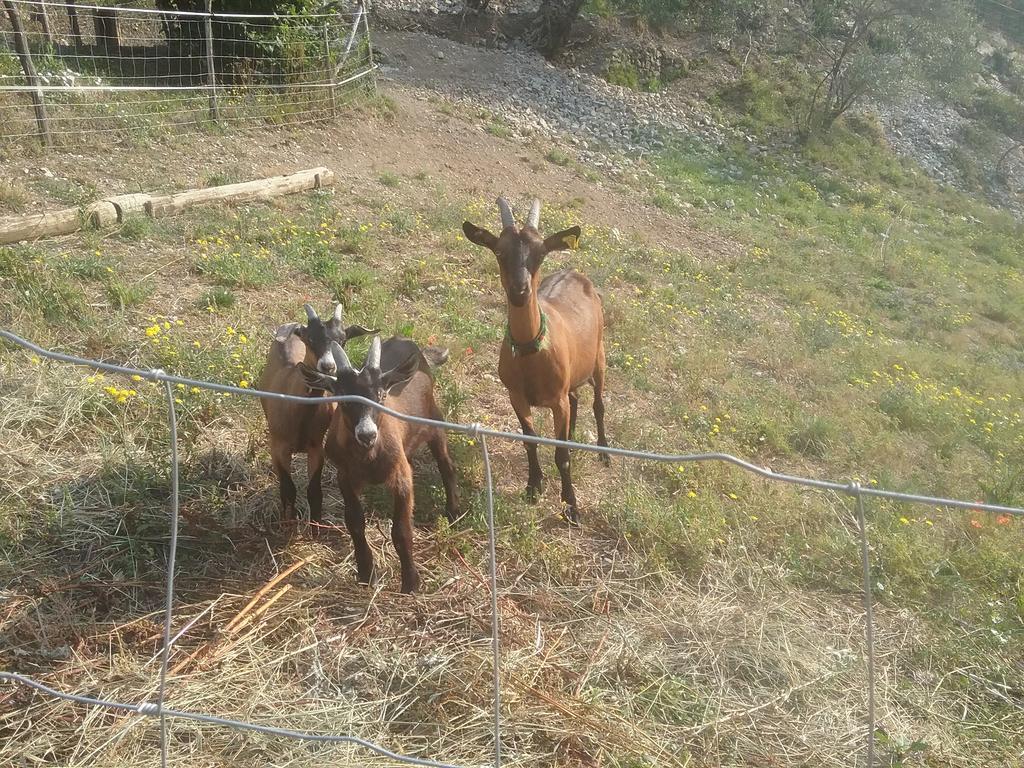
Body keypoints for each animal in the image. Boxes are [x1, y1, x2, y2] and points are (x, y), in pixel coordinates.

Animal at [260, 303, 376, 528]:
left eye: (342, 340)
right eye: (311, 339)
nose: (328, 366)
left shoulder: (316, 448)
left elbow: (314, 491)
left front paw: (315, 528)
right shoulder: (278, 448)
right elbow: (288, 488)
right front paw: (288, 525)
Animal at [296, 333, 456, 593]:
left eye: (381, 396)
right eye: (343, 398)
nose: (367, 434)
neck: (368, 456)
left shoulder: (402, 477)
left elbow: (401, 531)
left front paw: (411, 583)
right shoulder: (345, 476)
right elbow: (355, 523)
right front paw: (366, 573)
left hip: (434, 420)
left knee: (446, 464)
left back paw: (453, 512)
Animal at [464, 196, 606, 524]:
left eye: (540, 253)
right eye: (499, 251)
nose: (520, 290)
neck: (533, 351)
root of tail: (576, 273)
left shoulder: (557, 401)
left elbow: (561, 456)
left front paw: (571, 506)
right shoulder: (516, 396)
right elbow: (530, 440)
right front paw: (533, 487)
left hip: (600, 357)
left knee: (598, 403)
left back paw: (604, 452)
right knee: (577, 399)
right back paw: (573, 435)